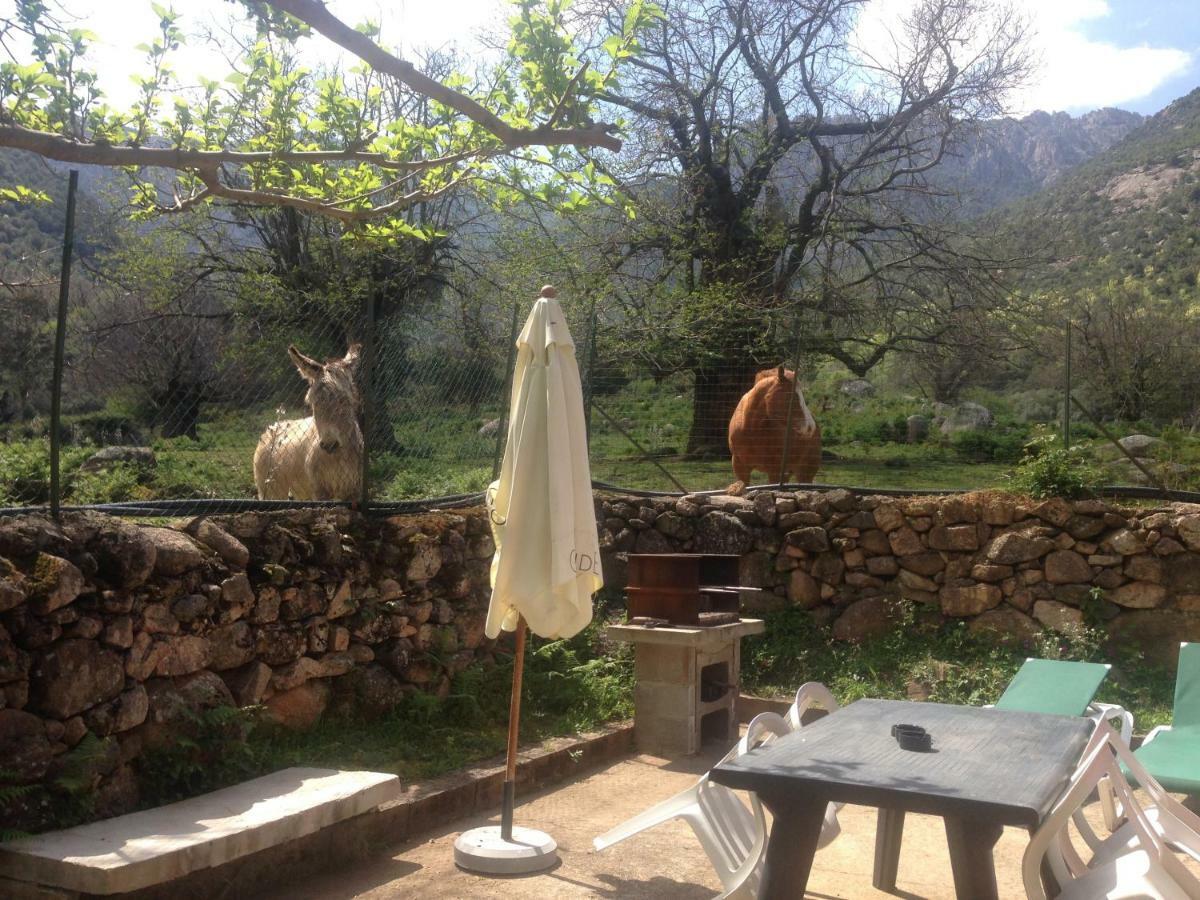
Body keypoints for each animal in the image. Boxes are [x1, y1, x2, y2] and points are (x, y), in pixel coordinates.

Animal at [724, 364, 820, 494]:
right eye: (791, 395)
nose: (810, 427)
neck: (751, 429)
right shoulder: (740, 466)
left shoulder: (774, 470)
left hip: (805, 473)